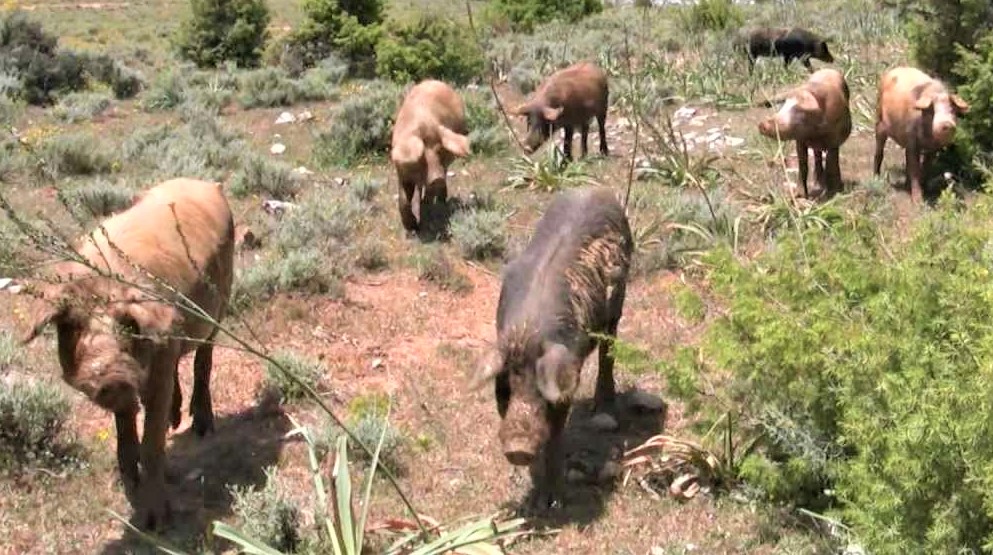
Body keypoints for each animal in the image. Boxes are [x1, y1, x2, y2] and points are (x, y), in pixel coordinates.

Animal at [23, 178, 234, 528]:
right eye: (73, 324)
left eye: (127, 325)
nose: (107, 373)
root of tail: (205, 183)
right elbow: (125, 432)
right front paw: (128, 483)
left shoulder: (156, 367)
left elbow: (152, 444)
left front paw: (155, 522)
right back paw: (174, 420)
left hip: (221, 302)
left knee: (204, 359)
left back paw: (202, 429)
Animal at [390, 79, 470, 231]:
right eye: (421, 159)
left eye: (440, 150)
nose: (437, 178)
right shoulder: (401, 172)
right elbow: (403, 199)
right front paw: (412, 228)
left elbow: (428, 196)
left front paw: (424, 222)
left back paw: (441, 200)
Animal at [468, 187, 632, 512]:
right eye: (504, 388)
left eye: (541, 391)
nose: (518, 448)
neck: (527, 334)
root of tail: (597, 189)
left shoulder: (569, 373)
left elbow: (556, 435)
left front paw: (551, 503)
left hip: (619, 300)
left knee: (608, 350)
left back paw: (604, 414)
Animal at [756, 68, 848, 198]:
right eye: (783, 107)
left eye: (798, 111)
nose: (761, 124)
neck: (815, 134)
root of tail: (827, 69)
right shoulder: (800, 141)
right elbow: (803, 165)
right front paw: (798, 195)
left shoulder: (834, 140)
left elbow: (831, 163)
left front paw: (832, 192)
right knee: (817, 157)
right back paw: (817, 183)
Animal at [872, 66, 964, 203]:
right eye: (932, 111)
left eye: (952, 111)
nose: (947, 124)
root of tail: (893, 70)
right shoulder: (912, 141)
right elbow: (915, 168)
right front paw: (918, 201)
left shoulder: (933, 148)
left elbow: (926, 166)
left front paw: (926, 191)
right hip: (879, 120)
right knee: (879, 151)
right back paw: (876, 179)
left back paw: (906, 185)